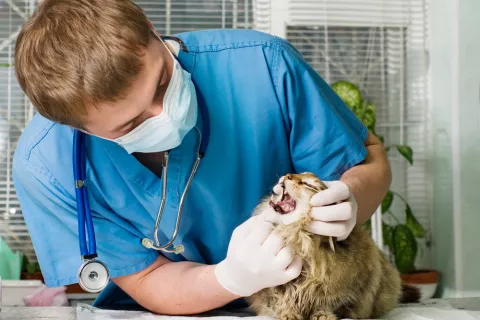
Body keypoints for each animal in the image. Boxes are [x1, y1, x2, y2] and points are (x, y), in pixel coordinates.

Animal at [248, 172, 420, 320]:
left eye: (308, 184)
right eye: (296, 174)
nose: (287, 175)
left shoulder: (343, 291)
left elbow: (325, 304)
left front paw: (322, 315)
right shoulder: (273, 290)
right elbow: (282, 301)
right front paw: (288, 314)